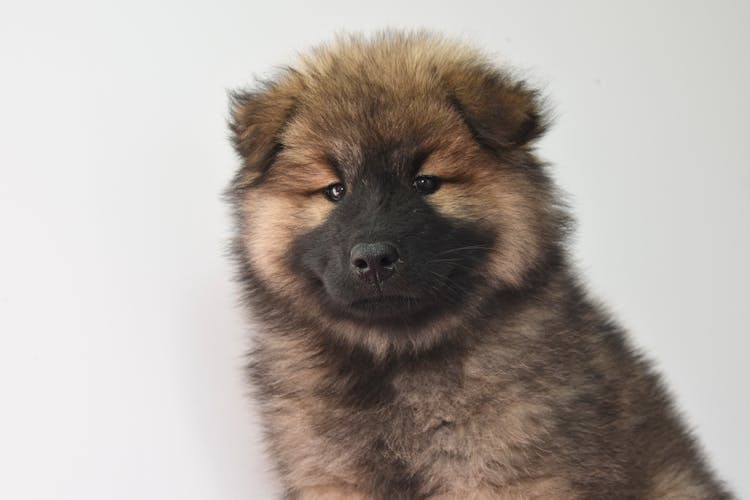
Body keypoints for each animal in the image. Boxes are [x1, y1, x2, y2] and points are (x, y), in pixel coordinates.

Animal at [228, 32, 736, 500]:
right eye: (335, 190)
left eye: (426, 183)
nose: (373, 258)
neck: (396, 357)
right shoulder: (331, 475)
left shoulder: (507, 474)